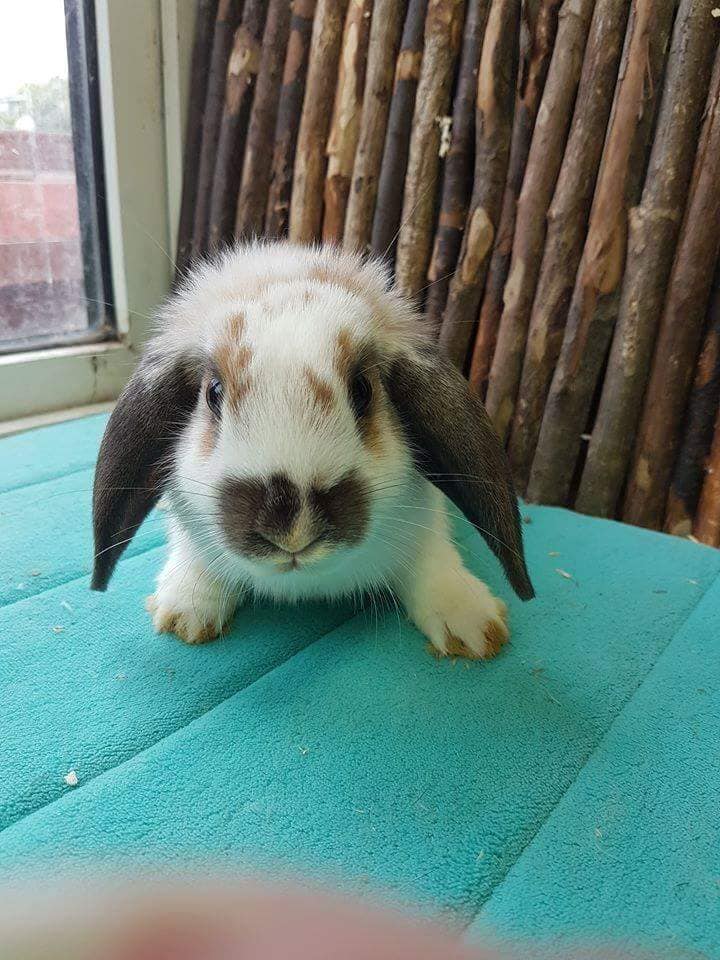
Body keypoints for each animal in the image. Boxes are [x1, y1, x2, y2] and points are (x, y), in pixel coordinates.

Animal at [91, 243, 534, 659]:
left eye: (362, 390)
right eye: (213, 393)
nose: (292, 528)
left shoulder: (427, 524)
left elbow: (433, 561)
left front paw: (473, 626)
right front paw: (185, 614)